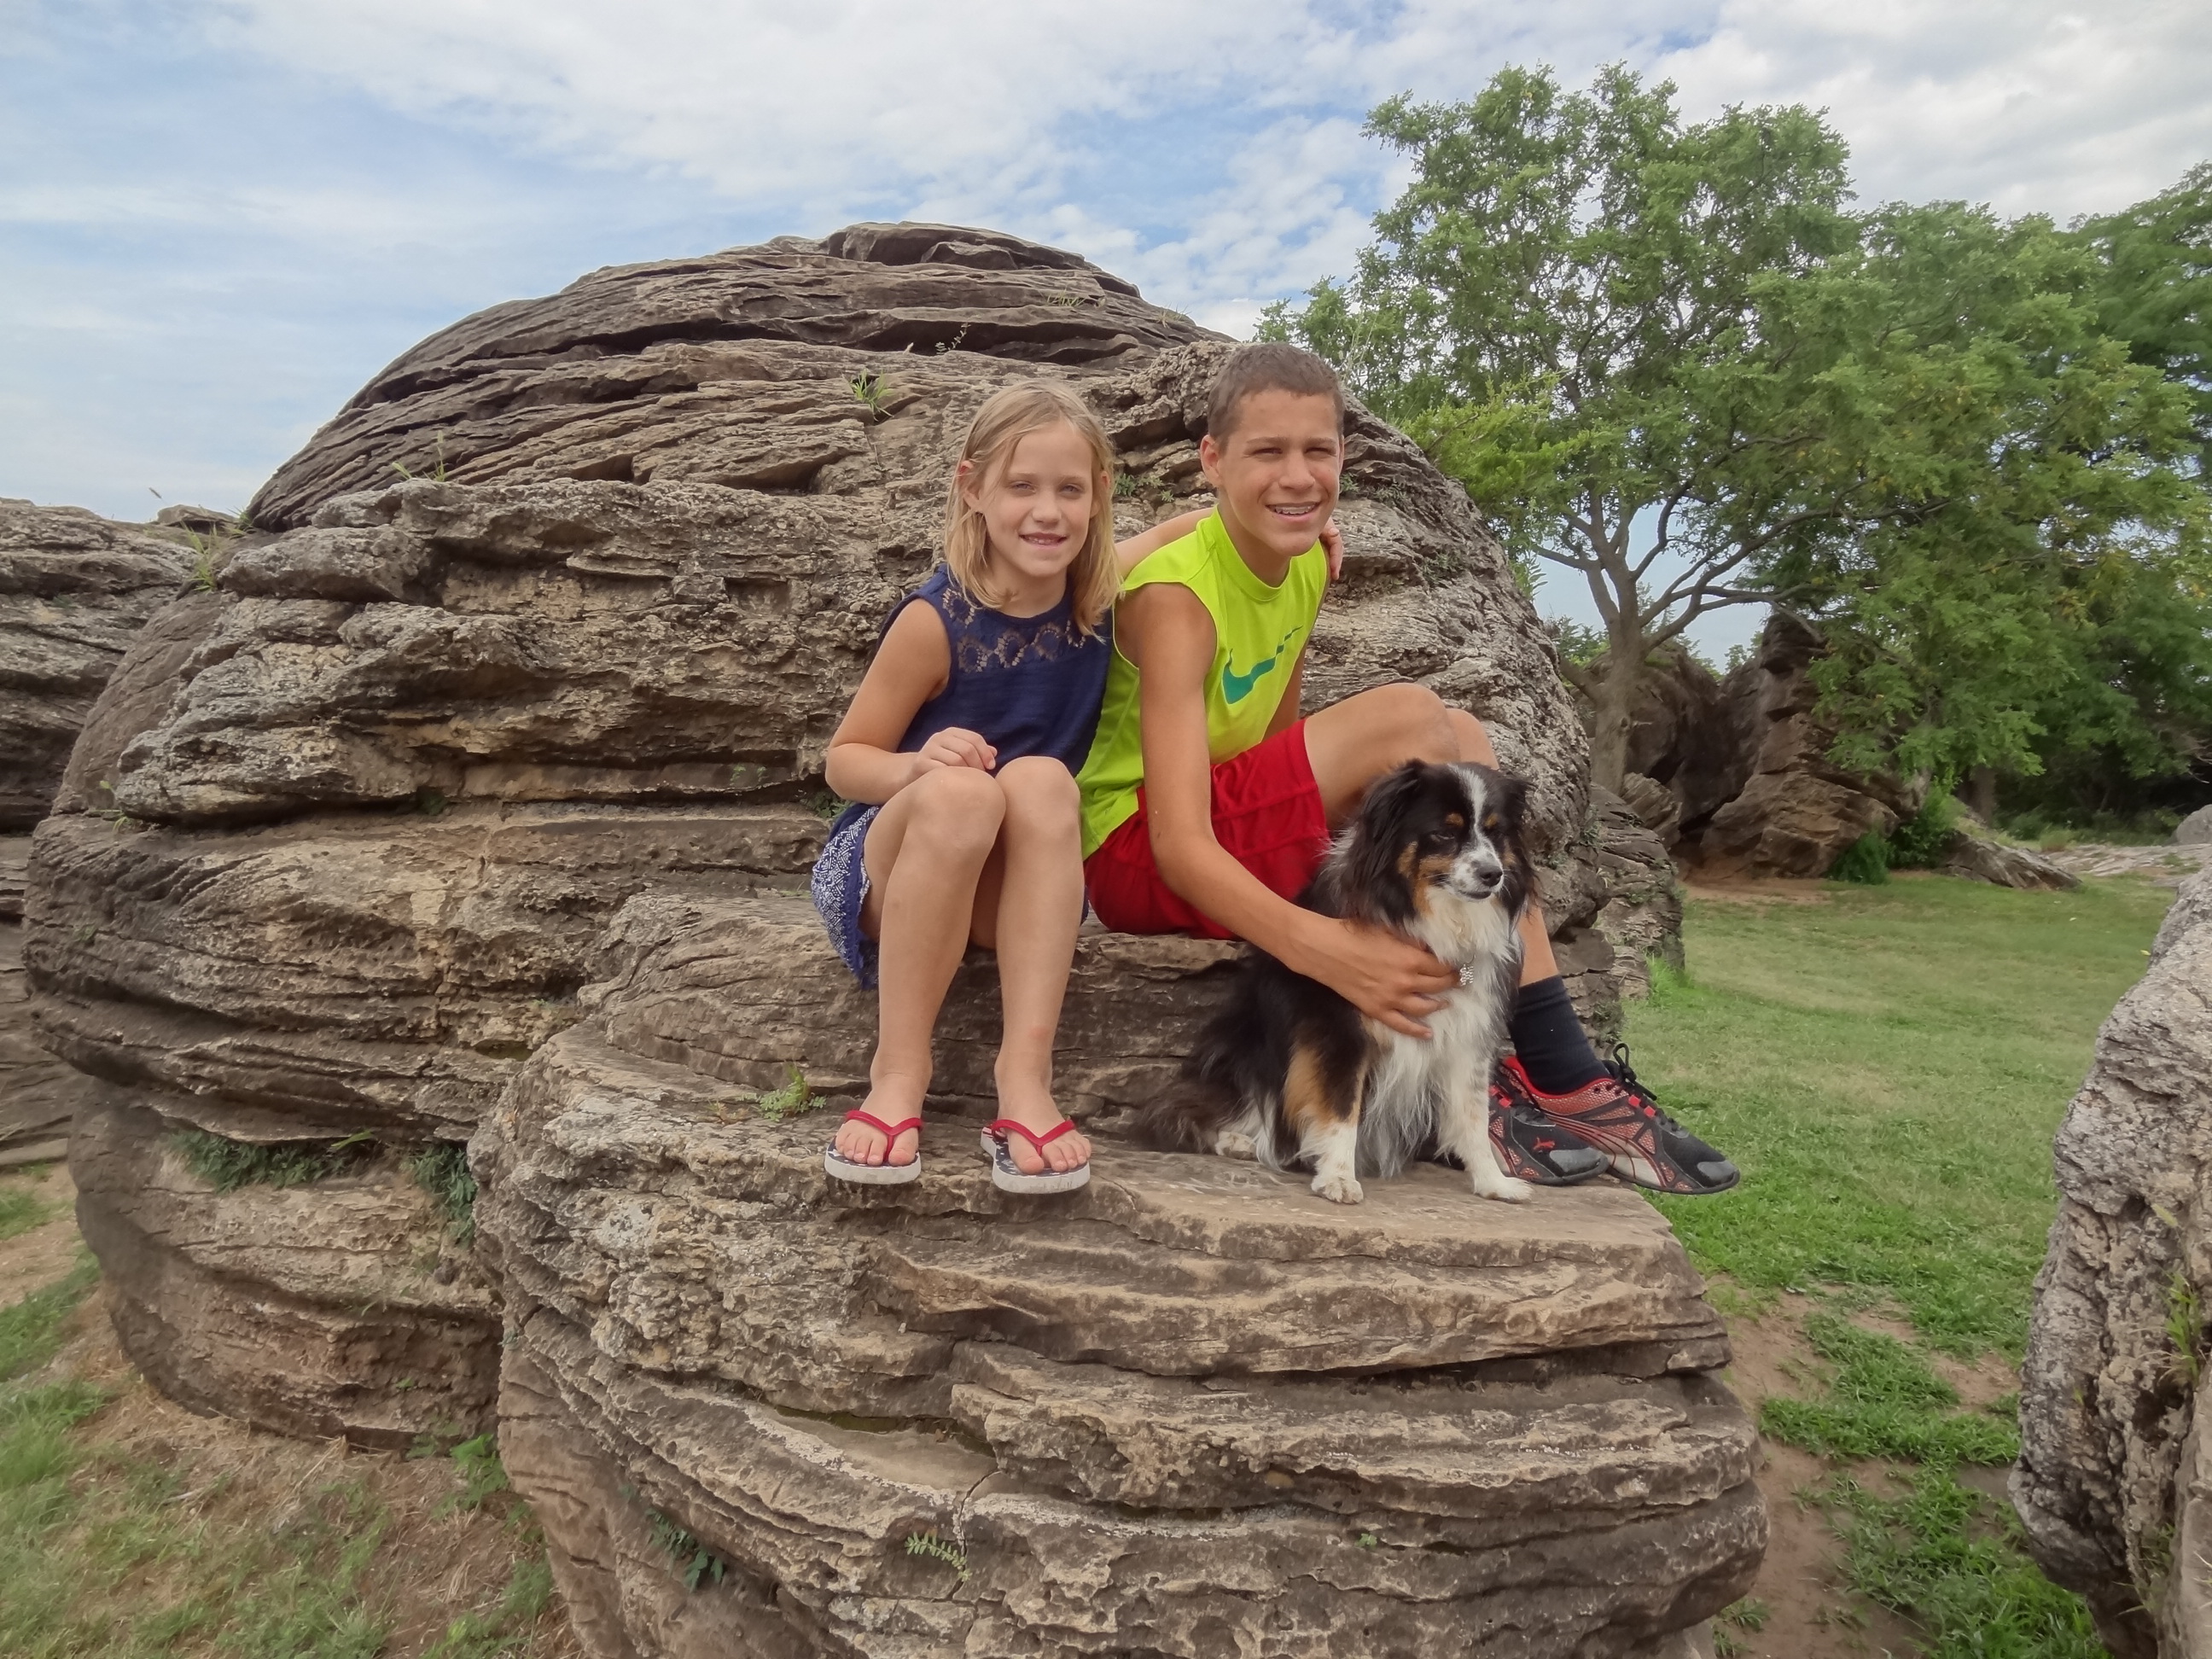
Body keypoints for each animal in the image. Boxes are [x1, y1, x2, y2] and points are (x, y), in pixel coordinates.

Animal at [1135, 760, 1534, 1205]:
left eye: (1496, 833)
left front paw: (1493, 1182)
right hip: (1243, 1051)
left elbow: (1473, 1114)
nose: (1493, 874)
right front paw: (1338, 1178)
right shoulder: (1339, 1028)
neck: (1431, 918)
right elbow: (1342, 1106)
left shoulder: (1468, 1030)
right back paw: (1239, 1141)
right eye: (1445, 832)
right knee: (1196, 1110)